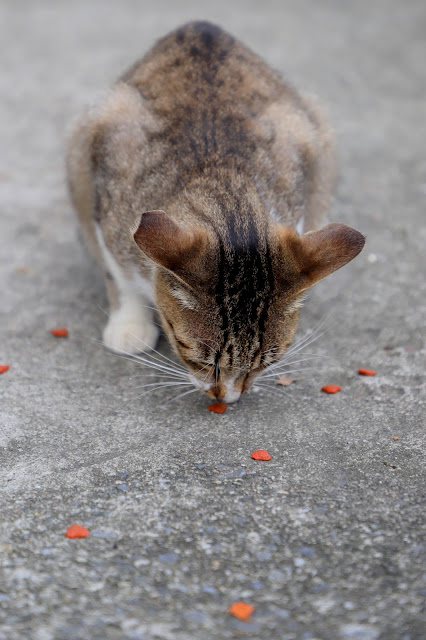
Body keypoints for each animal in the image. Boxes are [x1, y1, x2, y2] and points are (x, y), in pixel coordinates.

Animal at [65, 22, 362, 402]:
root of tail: (200, 26)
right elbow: (117, 271)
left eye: (265, 363)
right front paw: (129, 323)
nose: (228, 397)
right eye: (199, 356)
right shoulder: (107, 196)